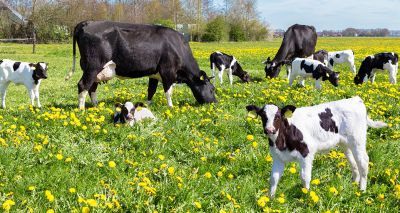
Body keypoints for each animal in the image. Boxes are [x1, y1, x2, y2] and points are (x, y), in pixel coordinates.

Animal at [65, 20, 216, 109]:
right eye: (212, 89)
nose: (215, 102)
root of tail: (85, 22)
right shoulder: (168, 71)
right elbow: (168, 91)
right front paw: (171, 107)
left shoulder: (154, 74)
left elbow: (151, 90)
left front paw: (147, 106)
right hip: (93, 66)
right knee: (83, 85)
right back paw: (81, 109)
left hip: (96, 70)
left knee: (92, 87)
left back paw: (96, 106)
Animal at [245, 96, 386, 198]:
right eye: (263, 116)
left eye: (278, 116)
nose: (269, 130)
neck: (281, 141)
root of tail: (356, 99)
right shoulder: (278, 157)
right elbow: (273, 178)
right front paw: (270, 199)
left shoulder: (306, 153)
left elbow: (305, 177)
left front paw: (306, 197)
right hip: (345, 144)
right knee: (353, 162)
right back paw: (354, 185)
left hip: (358, 140)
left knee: (363, 162)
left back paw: (362, 190)